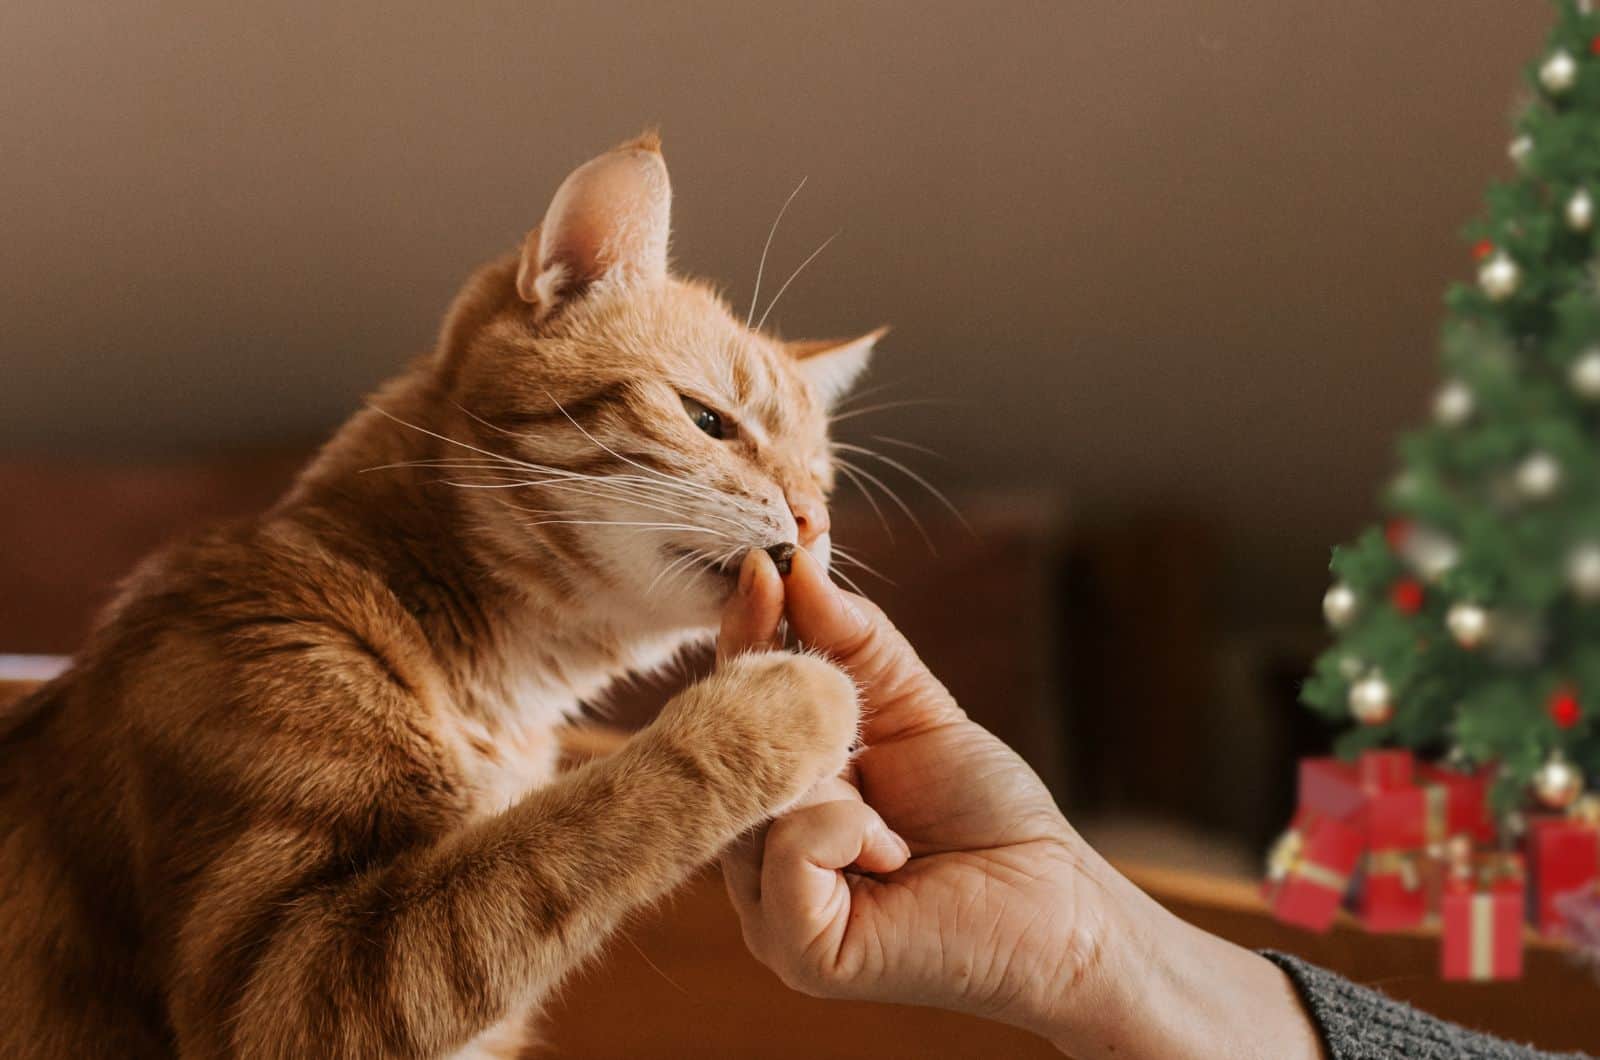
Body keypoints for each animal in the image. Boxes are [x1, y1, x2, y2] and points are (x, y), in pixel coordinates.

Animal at [0, 136, 883, 1056]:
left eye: (821, 480)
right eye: (708, 420)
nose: (814, 520)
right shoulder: (280, 990)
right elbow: (559, 835)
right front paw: (786, 704)